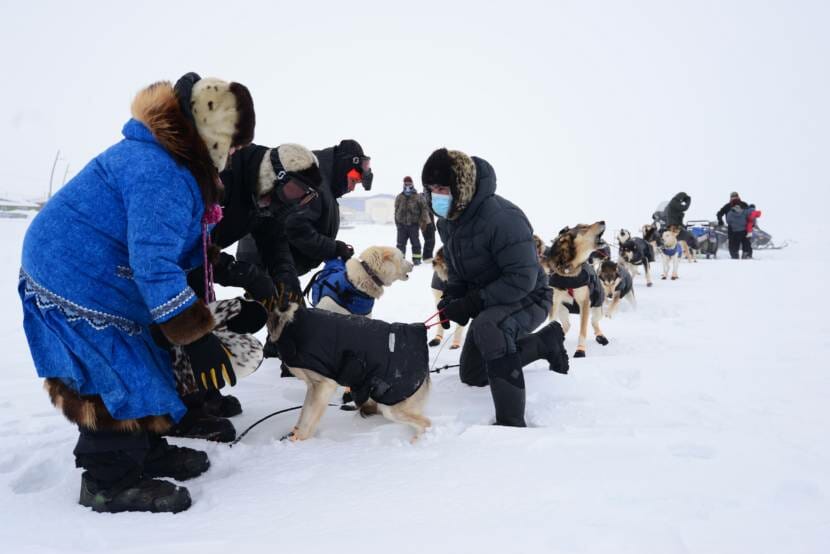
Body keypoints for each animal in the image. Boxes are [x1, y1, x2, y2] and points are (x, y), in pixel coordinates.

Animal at [544, 221, 608, 358]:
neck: (569, 270)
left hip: (596, 307)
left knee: (594, 322)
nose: (603, 221)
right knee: (567, 325)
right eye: (584, 227)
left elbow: (583, 330)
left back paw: (601, 337)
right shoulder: (555, 301)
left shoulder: (584, 303)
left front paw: (580, 350)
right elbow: (551, 322)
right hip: (562, 309)